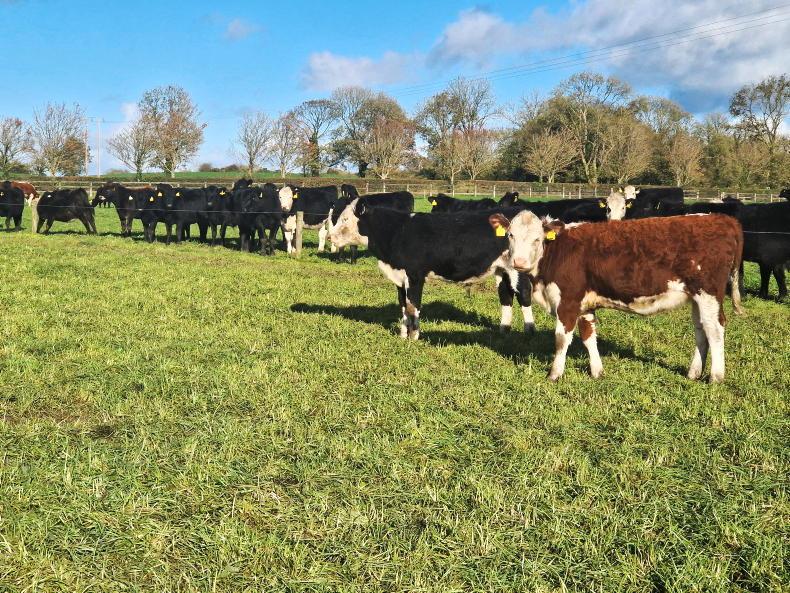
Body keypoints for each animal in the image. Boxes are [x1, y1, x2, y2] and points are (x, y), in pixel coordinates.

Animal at [354, 202, 535, 340]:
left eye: (346, 218)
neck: (398, 231)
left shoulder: (415, 276)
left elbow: (413, 306)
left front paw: (414, 337)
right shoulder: (399, 276)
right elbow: (403, 305)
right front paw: (403, 335)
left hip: (518, 267)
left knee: (523, 293)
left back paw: (529, 333)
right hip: (501, 269)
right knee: (505, 294)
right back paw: (504, 331)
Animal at [489, 212, 743, 383]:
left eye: (537, 239)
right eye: (510, 235)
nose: (518, 262)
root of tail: (723, 219)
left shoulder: (568, 301)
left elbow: (561, 339)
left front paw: (554, 374)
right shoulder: (585, 304)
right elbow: (589, 337)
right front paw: (597, 371)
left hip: (708, 293)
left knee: (715, 329)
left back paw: (716, 377)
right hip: (696, 297)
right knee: (701, 330)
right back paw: (693, 373)